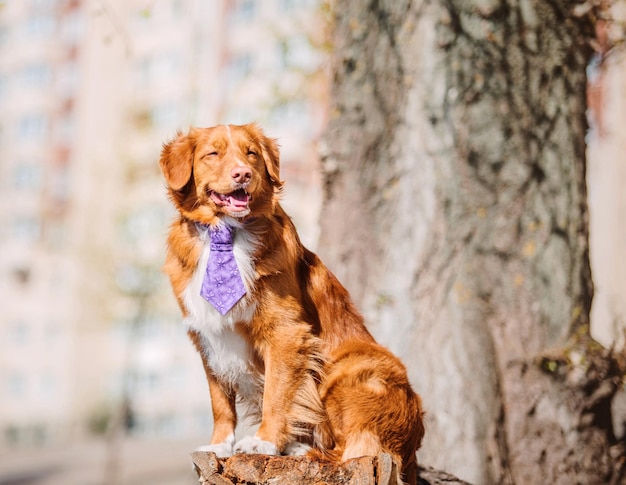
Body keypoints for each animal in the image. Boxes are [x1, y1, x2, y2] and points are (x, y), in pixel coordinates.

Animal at [160, 123, 424, 482]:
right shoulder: (207, 337)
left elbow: (277, 391)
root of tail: (411, 450)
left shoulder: (285, 332)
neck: (225, 233)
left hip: (351, 370)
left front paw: (265, 442)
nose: (242, 174)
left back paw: (302, 449)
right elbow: (219, 402)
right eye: (212, 154)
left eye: (251, 154)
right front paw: (219, 445)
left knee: (354, 448)